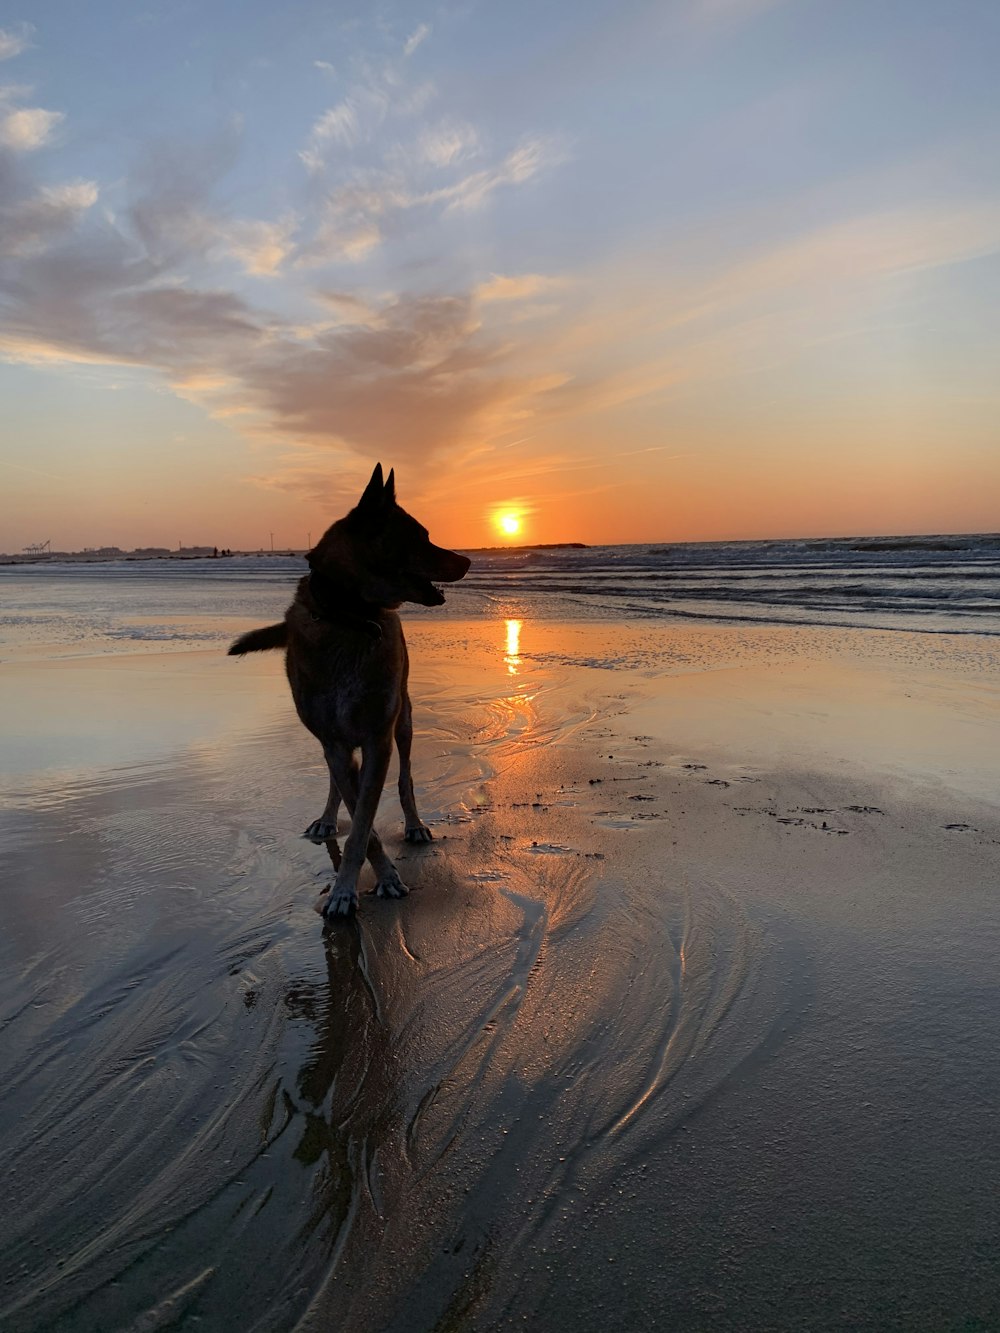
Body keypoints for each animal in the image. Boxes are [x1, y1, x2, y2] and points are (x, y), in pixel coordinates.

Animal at [229, 461, 472, 917]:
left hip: (404, 722)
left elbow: (364, 823)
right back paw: (328, 819)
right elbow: (362, 820)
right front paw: (354, 885)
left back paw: (413, 825)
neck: (350, 616)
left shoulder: (379, 738)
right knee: (336, 782)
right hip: (334, 740)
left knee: (406, 779)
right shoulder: (338, 743)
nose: (467, 559)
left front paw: (376, 881)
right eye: (420, 537)